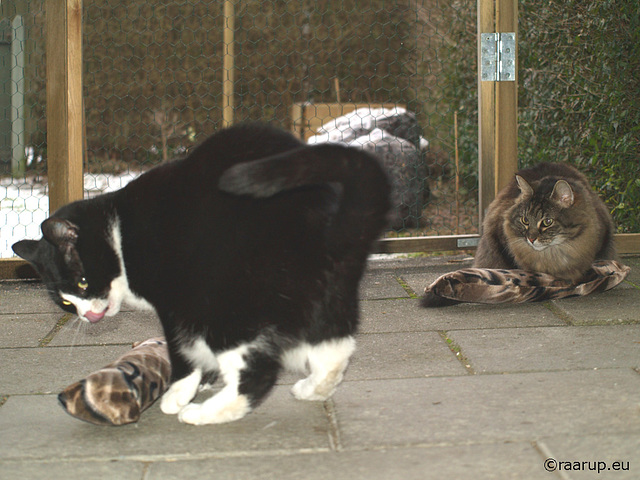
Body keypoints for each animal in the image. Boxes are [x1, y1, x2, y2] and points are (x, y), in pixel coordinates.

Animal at [12, 124, 390, 424]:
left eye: (82, 281)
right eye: (65, 303)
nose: (87, 316)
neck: (118, 232)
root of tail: (331, 230)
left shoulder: (176, 304)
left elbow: (182, 351)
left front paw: (180, 392)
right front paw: (203, 380)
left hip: (225, 305)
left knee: (258, 373)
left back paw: (203, 414)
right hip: (327, 301)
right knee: (335, 351)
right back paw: (312, 389)